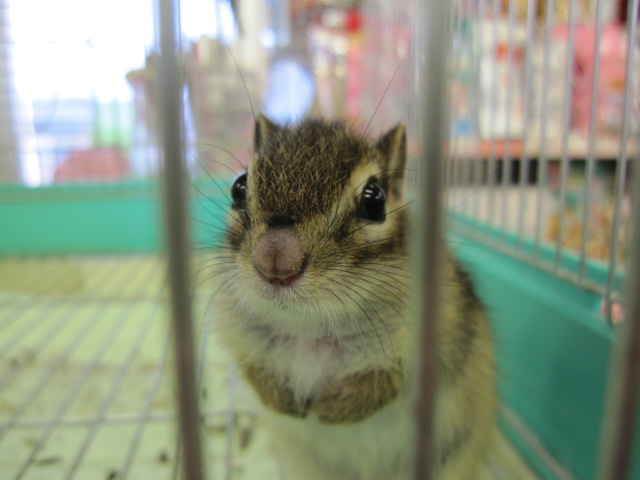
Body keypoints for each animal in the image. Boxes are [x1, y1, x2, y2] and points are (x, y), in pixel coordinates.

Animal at [216, 114, 497, 480]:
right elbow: (251, 367)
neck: (310, 328)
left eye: (375, 200)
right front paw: (283, 400)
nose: (274, 262)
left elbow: (394, 379)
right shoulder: (239, 334)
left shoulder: (440, 338)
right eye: (239, 186)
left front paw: (330, 409)